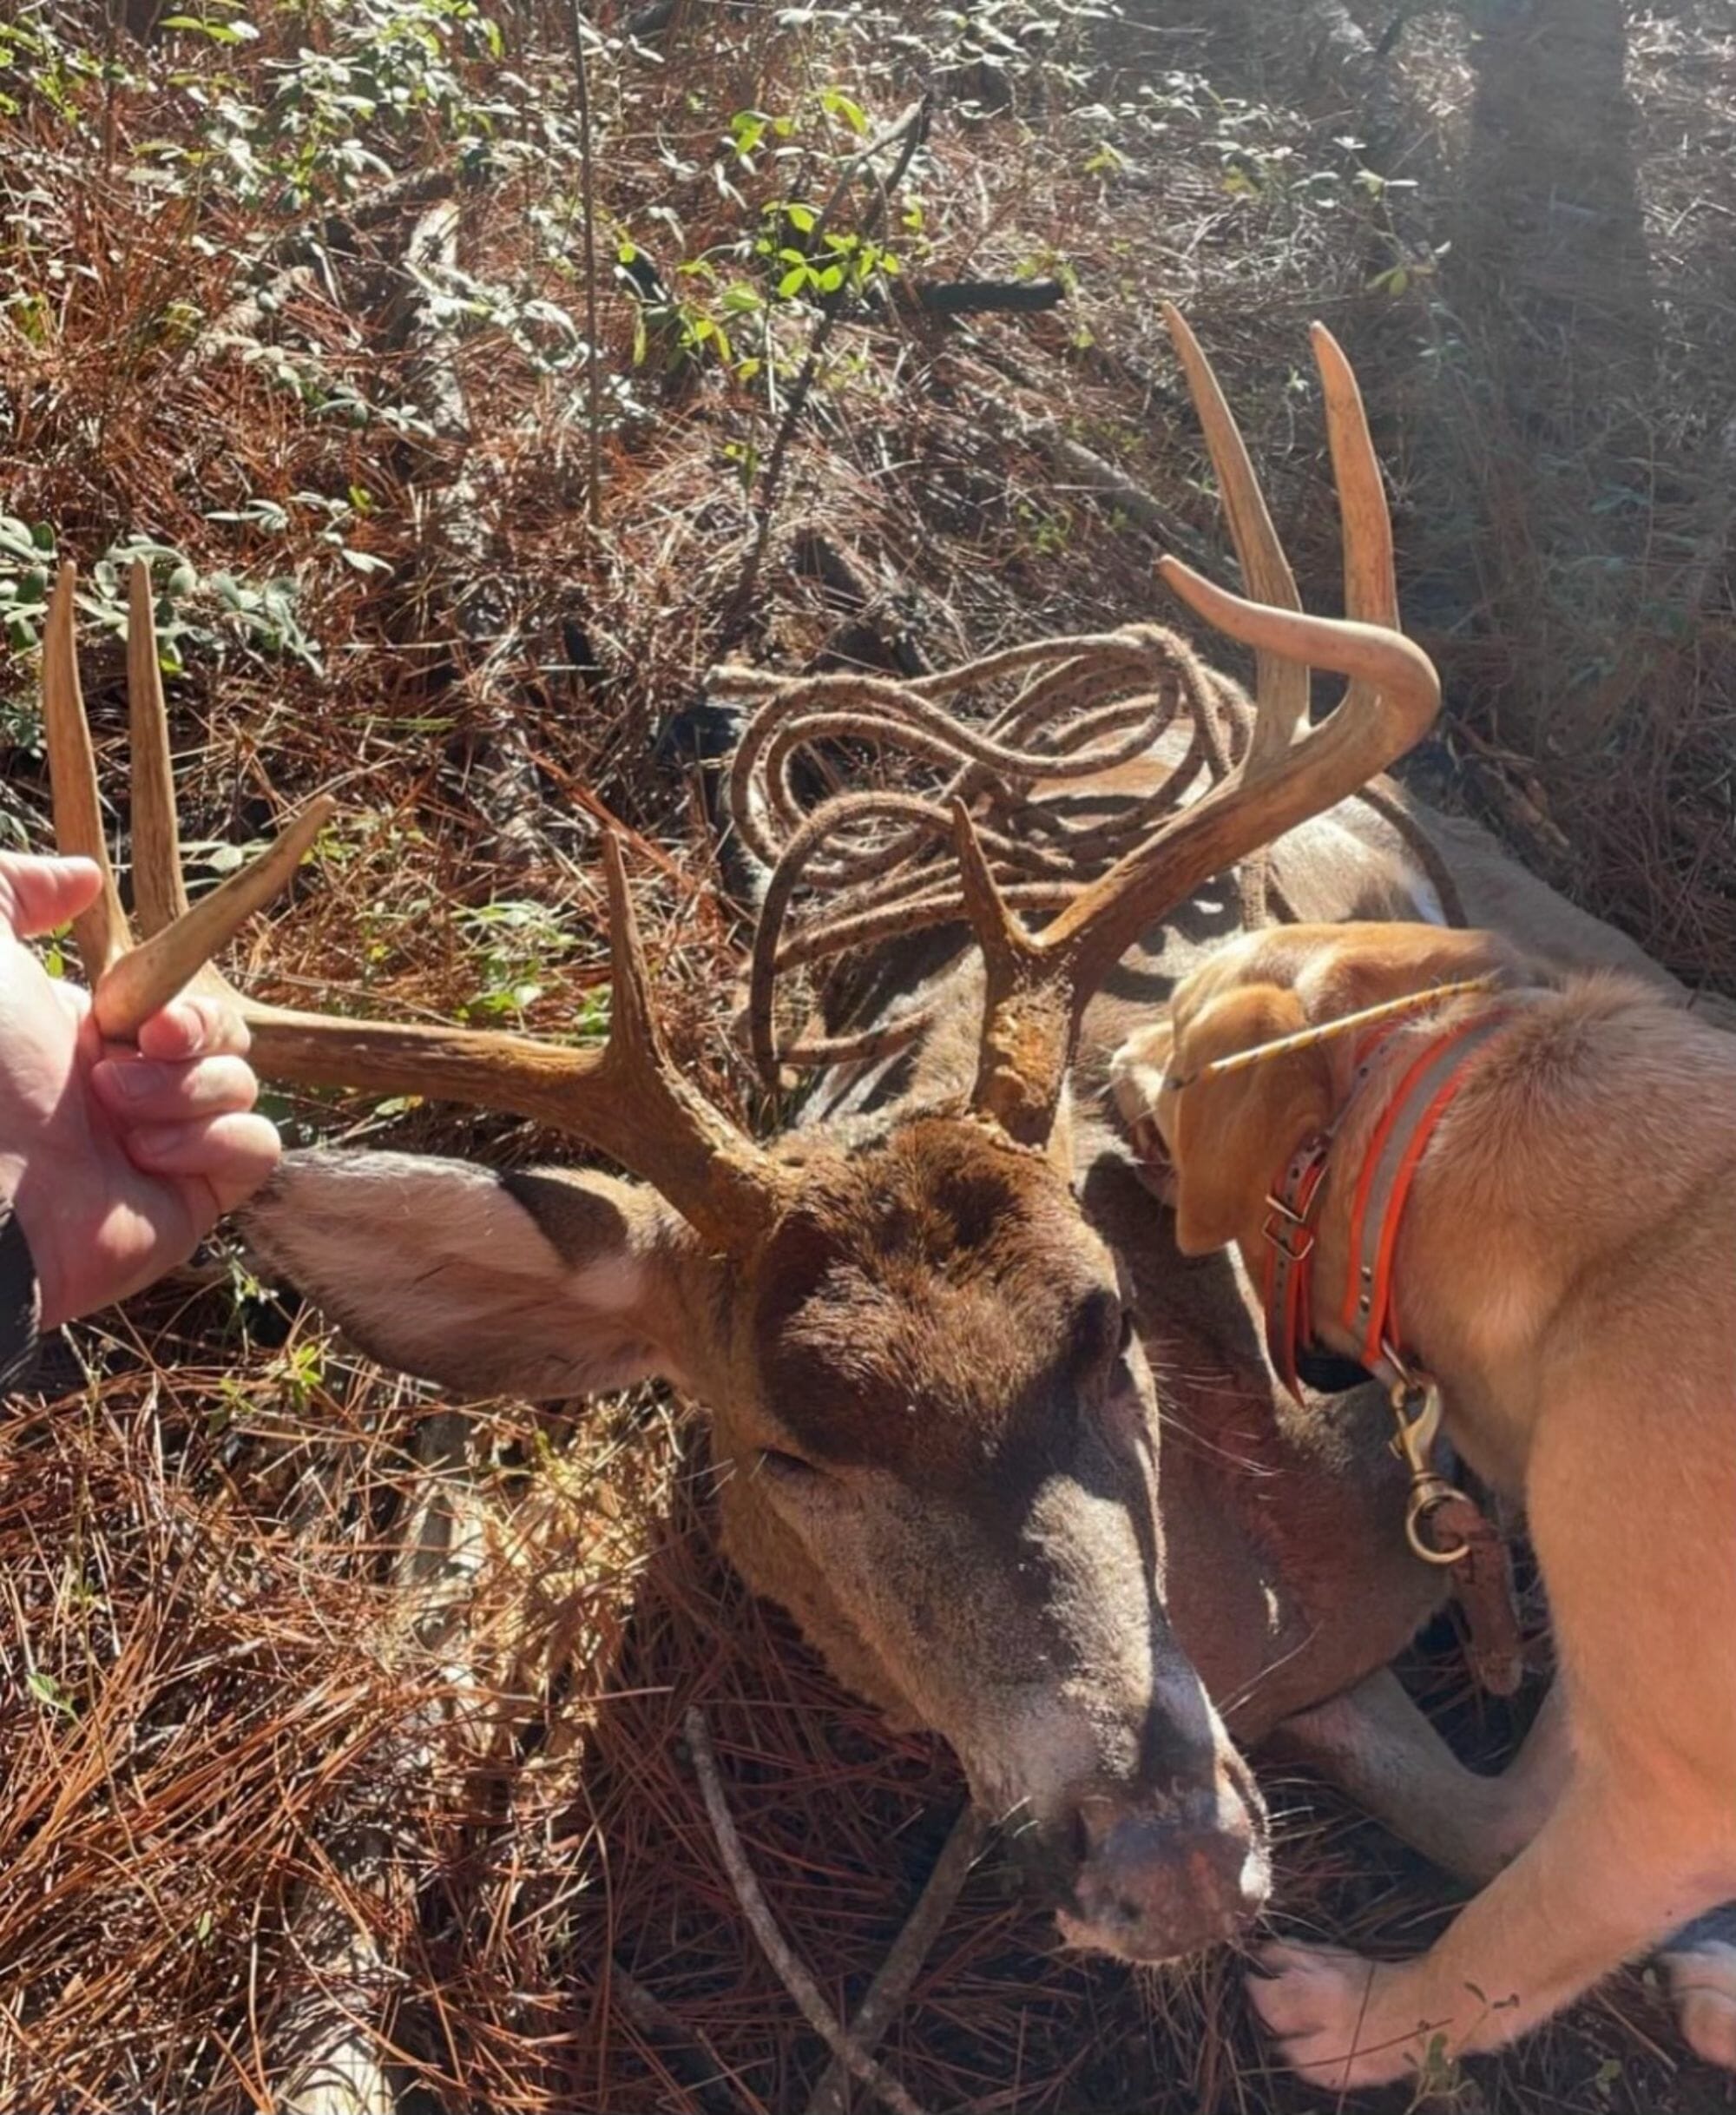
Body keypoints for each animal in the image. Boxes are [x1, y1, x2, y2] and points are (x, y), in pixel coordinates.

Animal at [1109, 920, 1736, 2089]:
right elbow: (1516, 1808)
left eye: (1173, 1028)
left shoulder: (1673, 1804)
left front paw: (1366, 2022)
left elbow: (1496, 1951)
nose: (1112, 1051)